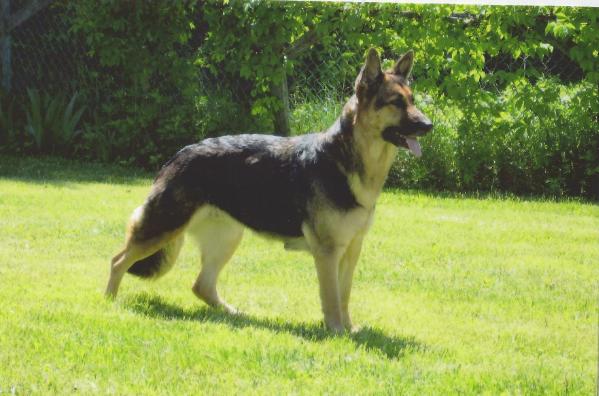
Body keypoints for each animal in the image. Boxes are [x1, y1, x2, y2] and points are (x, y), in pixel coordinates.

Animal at [106, 50, 432, 334]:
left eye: (412, 100)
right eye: (395, 102)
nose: (429, 125)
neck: (347, 159)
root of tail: (178, 154)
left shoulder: (352, 249)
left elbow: (345, 294)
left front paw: (350, 329)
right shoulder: (327, 252)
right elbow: (331, 297)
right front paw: (337, 331)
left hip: (226, 237)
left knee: (201, 285)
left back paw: (234, 314)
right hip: (164, 228)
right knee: (118, 261)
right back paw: (109, 303)